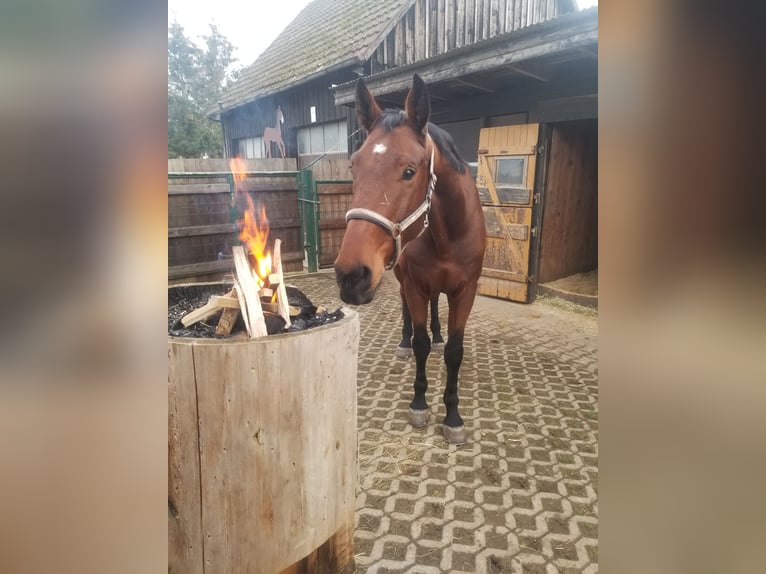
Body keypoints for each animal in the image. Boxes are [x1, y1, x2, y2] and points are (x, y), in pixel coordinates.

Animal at [334, 75, 486, 446]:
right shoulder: (416, 285)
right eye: (354, 166)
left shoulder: (466, 291)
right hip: (404, 279)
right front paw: (419, 402)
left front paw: (453, 416)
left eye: (409, 171)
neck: (446, 234)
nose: (350, 275)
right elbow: (420, 343)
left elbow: (454, 352)